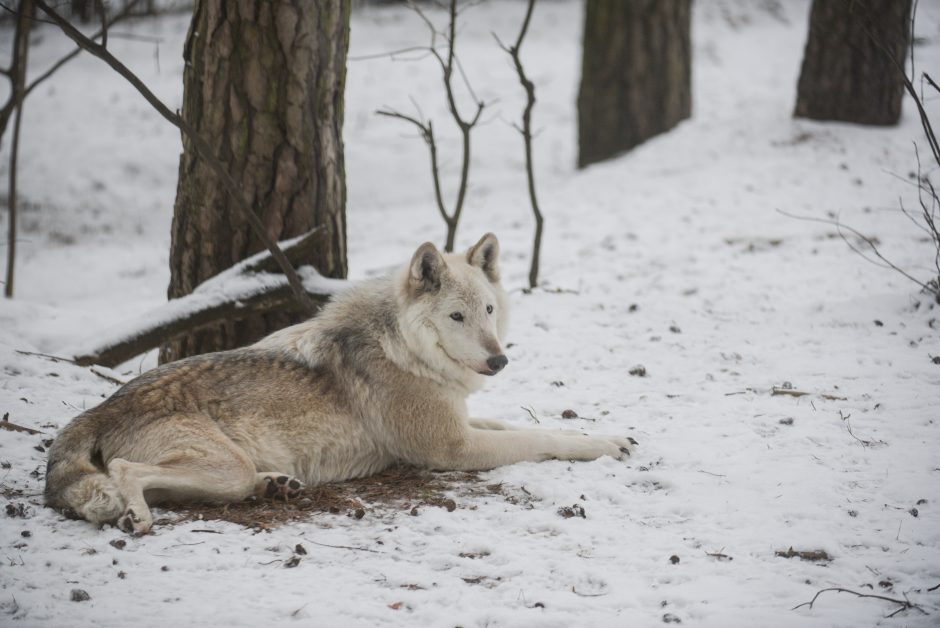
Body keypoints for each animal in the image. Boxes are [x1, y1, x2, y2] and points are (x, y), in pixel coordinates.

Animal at [44, 236, 636, 536]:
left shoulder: (461, 420)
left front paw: (606, 435)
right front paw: (604, 445)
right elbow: (537, 437)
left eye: (488, 310)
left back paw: (274, 485)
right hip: (220, 466)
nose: (499, 360)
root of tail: (99, 408)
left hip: (222, 473)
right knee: (126, 474)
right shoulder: (452, 449)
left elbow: (519, 423)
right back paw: (137, 518)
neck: (403, 348)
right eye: (456, 316)